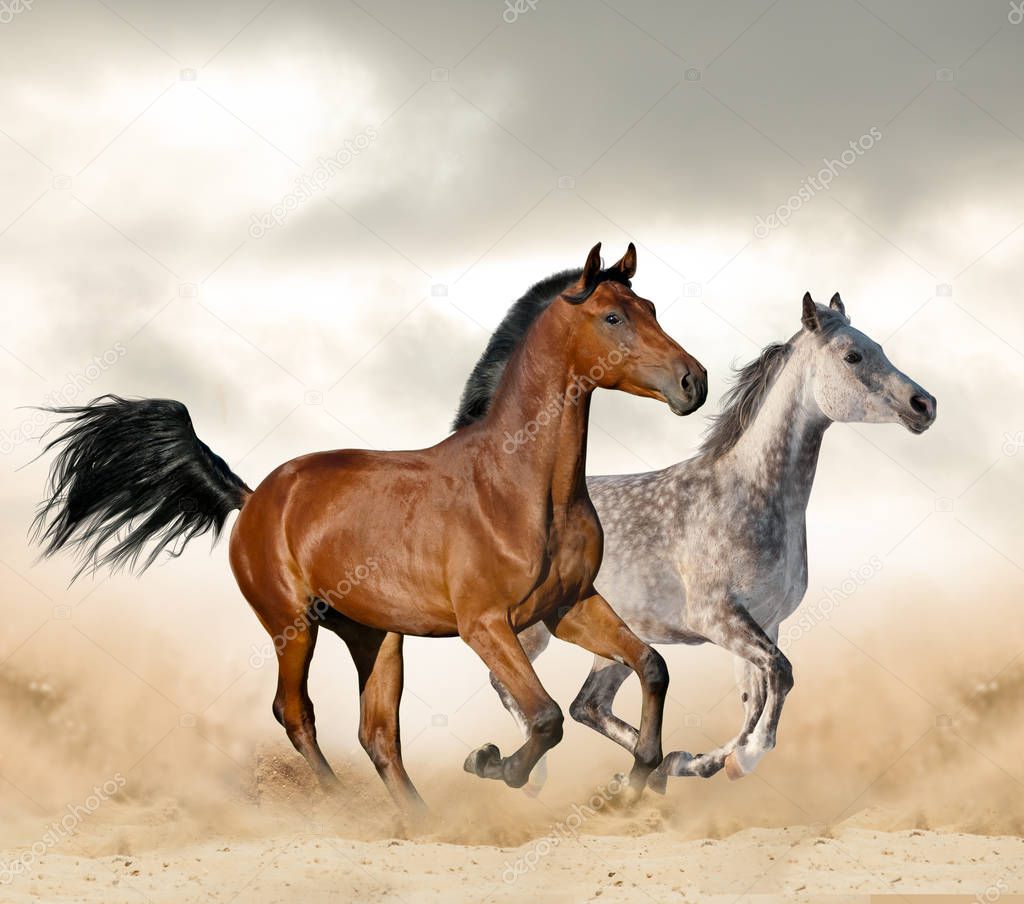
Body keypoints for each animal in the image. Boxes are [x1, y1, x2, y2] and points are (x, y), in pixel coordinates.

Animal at [31, 242, 709, 811]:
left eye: (649, 307)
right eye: (613, 318)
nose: (692, 381)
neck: (518, 487)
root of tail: (254, 498)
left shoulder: (570, 606)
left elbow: (652, 665)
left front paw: (639, 778)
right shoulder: (485, 624)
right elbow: (544, 718)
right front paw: (491, 763)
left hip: (375, 636)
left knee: (377, 733)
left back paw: (418, 821)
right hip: (293, 625)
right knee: (295, 712)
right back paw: (344, 809)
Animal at [456, 291, 936, 792]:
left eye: (877, 347)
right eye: (853, 355)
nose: (924, 405)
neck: (748, 495)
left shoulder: (765, 623)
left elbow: (756, 695)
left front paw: (705, 761)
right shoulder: (718, 619)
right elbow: (779, 676)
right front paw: (734, 759)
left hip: (612, 638)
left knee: (588, 704)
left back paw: (645, 773)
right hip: (528, 630)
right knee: (513, 686)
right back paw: (518, 771)